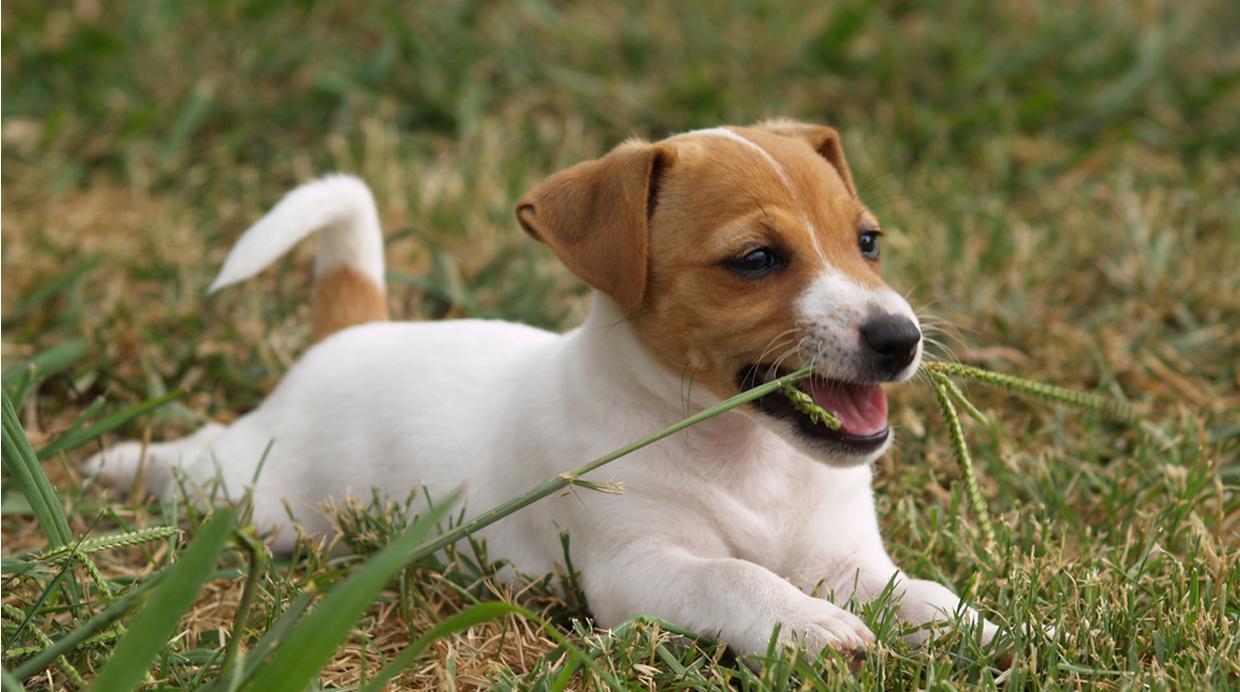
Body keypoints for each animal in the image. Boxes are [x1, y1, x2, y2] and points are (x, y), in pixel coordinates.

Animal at [84, 119, 996, 659]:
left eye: (868, 242)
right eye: (756, 260)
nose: (900, 338)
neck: (748, 458)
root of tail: (352, 333)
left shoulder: (844, 557)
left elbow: (916, 591)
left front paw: (982, 626)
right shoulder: (636, 569)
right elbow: (732, 578)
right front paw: (808, 624)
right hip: (261, 497)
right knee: (203, 461)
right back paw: (117, 462)